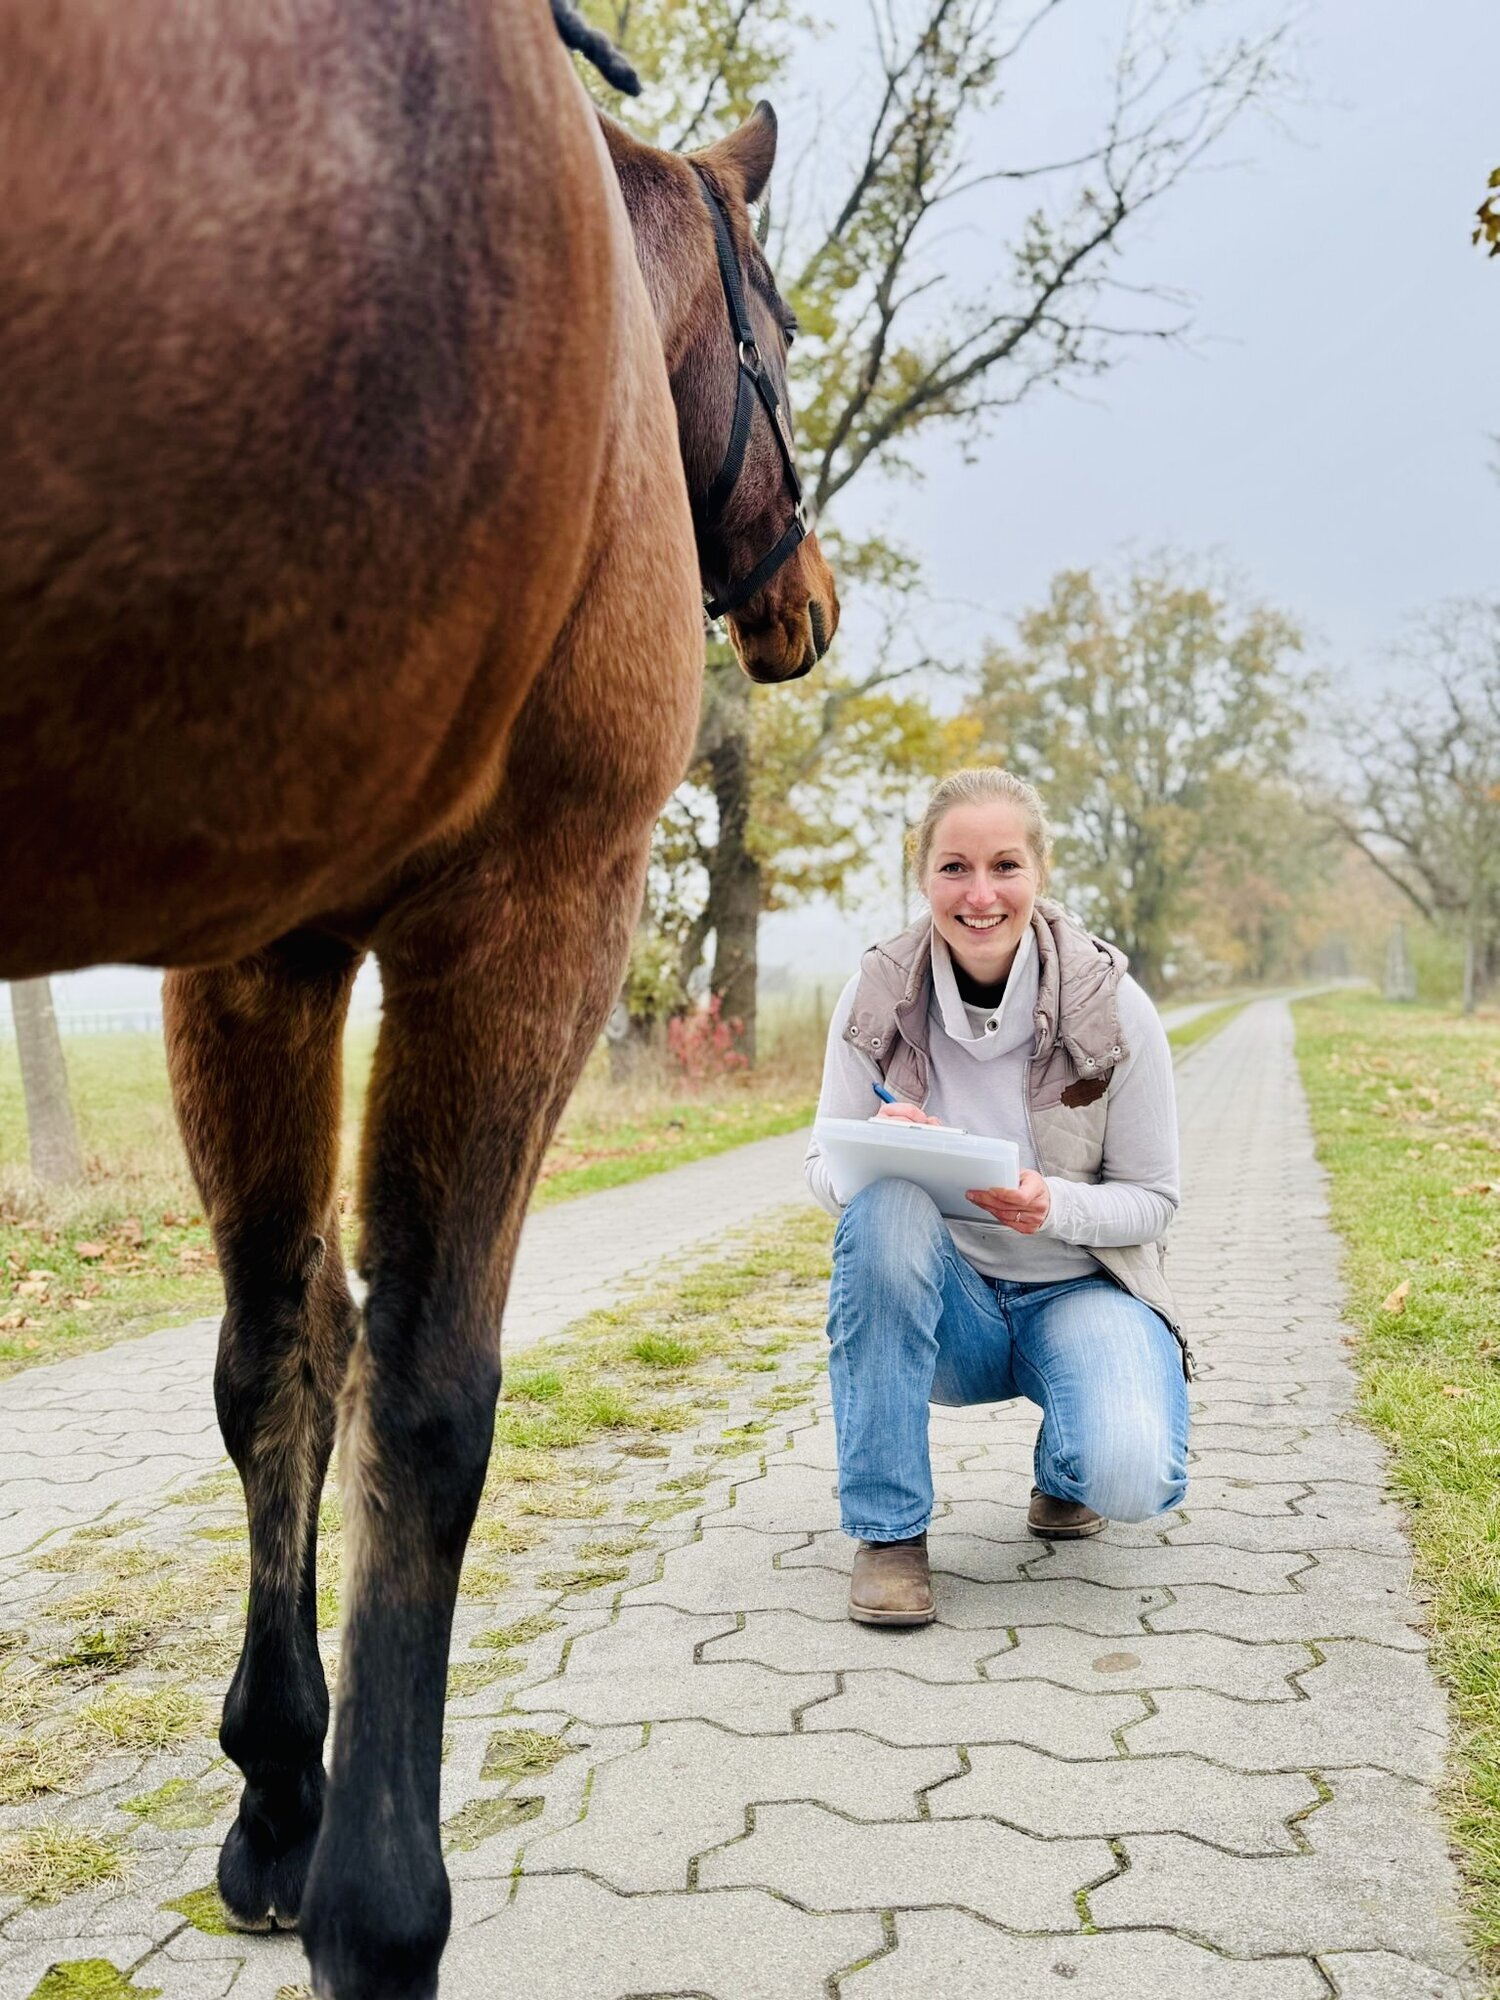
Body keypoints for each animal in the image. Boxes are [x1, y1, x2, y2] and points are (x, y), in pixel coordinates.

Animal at [0, 7, 840, 1992]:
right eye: (781, 337)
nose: (810, 602)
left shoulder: (261, 949)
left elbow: (278, 1353)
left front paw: (275, 1798)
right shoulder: (535, 908)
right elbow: (429, 1387)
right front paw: (379, 1894)